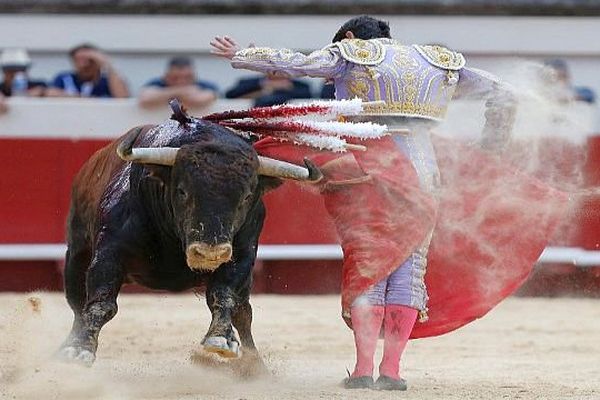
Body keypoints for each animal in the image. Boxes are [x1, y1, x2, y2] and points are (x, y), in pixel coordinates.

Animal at [60, 101, 322, 370]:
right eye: (182, 191)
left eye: (247, 197)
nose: (209, 253)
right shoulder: (110, 252)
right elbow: (101, 303)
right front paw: (79, 350)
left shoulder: (241, 256)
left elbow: (224, 296)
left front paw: (220, 339)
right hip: (76, 255)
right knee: (77, 303)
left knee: (243, 312)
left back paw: (252, 364)